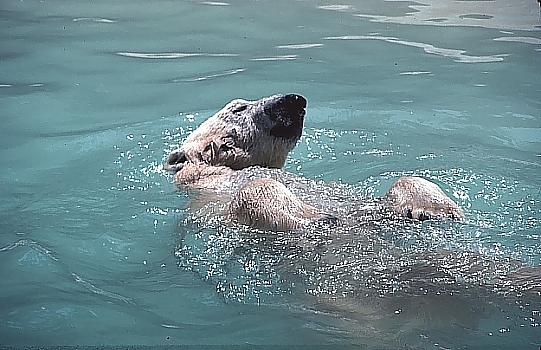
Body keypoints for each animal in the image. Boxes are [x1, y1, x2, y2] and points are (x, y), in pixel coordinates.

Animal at [163, 93, 460, 230]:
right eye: (239, 107)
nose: (296, 100)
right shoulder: (210, 205)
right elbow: (253, 191)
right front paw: (315, 217)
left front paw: (434, 209)